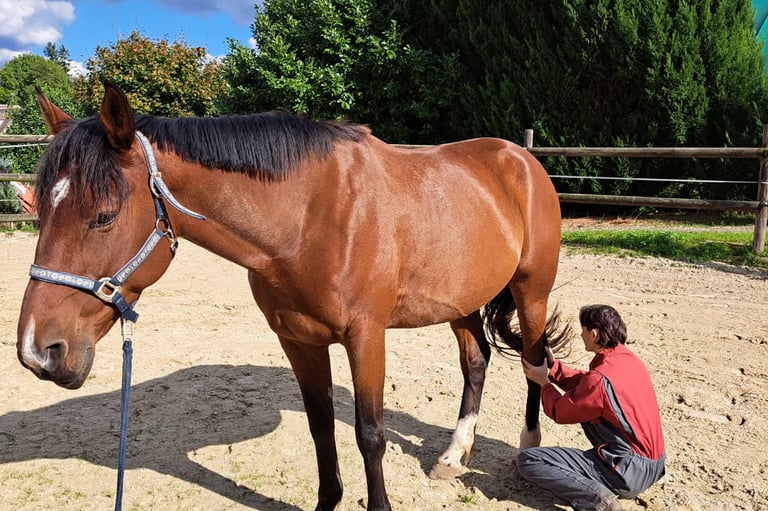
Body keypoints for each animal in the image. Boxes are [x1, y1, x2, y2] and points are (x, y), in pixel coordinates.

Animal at [17, 82, 571, 511]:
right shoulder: (298, 341)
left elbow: (370, 434)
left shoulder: (366, 337)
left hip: (531, 290)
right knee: (476, 362)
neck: (309, 218)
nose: (37, 352)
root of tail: (520, 157)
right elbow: (321, 428)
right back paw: (455, 454)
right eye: (40, 210)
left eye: (104, 216)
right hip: (460, 300)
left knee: (534, 361)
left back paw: (527, 446)